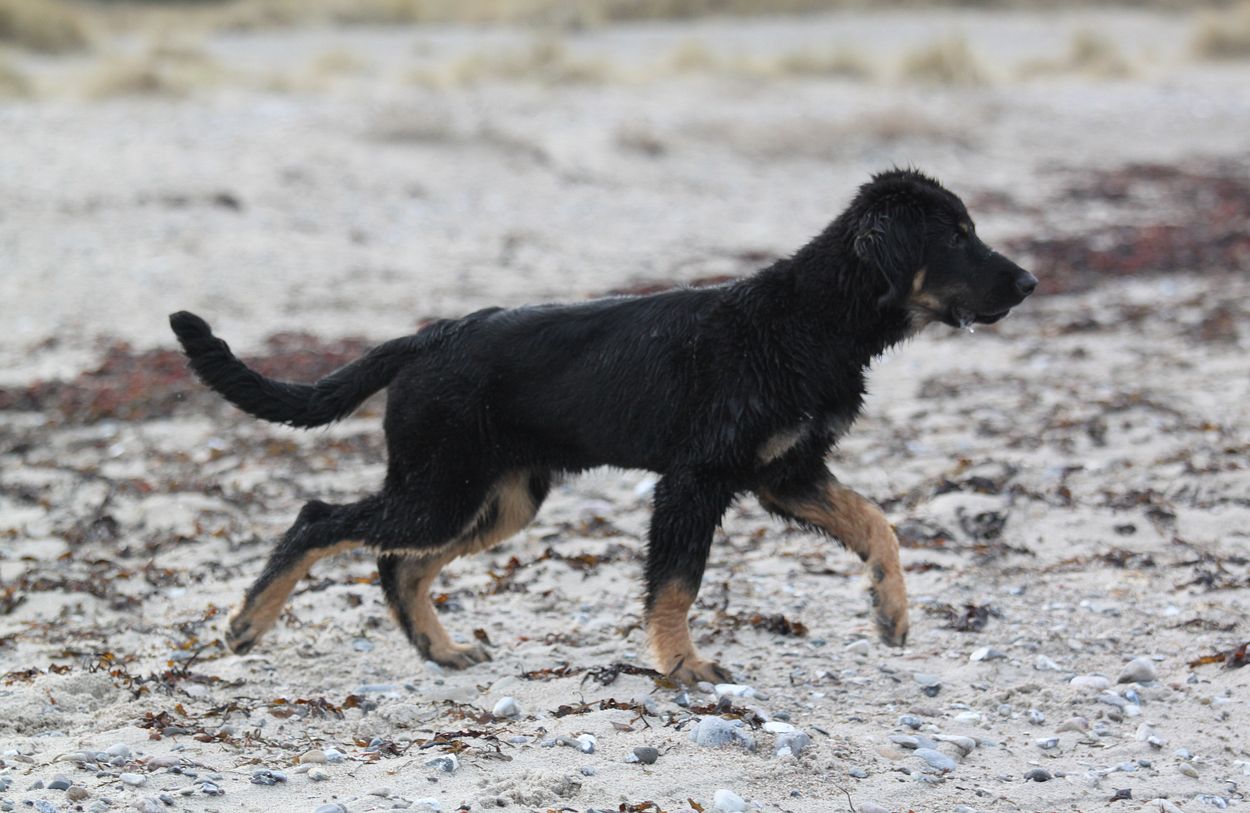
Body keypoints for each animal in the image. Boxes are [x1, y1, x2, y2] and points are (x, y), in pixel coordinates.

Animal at [170, 168, 1035, 685]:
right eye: (955, 236)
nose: (1028, 283)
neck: (811, 319)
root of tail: (428, 337)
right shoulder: (697, 479)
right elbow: (677, 583)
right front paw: (682, 665)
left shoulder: (785, 474)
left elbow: (876, 522)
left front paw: (890, 611)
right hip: (442, 486)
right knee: (322, 520)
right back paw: (247, 623)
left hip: (502, 495)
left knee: (397, 565)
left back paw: (440, 649)